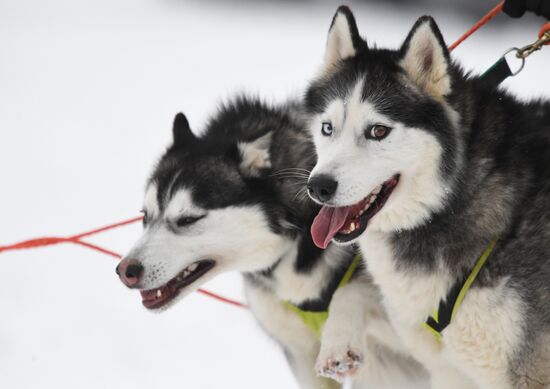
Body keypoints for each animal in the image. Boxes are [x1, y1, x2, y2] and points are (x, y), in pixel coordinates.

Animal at [116, 97, 426, 388]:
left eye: (188, 219)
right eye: (145, 216)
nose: (125, 271)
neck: (299, 239)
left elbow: (353, 288)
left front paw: (339, 339)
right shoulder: (299, 353)